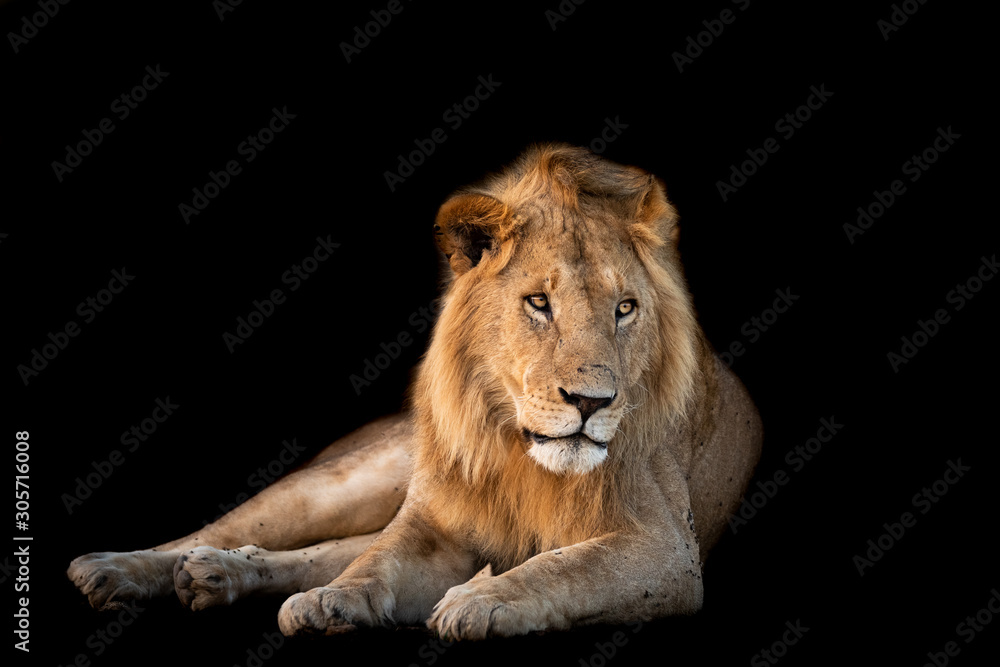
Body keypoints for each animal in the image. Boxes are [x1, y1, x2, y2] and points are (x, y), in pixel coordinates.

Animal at [68, 144, 762, 639]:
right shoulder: (433, 526)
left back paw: (216, 575)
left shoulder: (666, 548)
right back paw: (115, 569)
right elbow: (378, 562)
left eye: (625, 309)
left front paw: (482, 597)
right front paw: (336, 600)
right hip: (348, 481)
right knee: (253, 529)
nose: (592, 403)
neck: (522, 458)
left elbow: (569, 564)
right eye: (539, 303)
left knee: (323, 549)